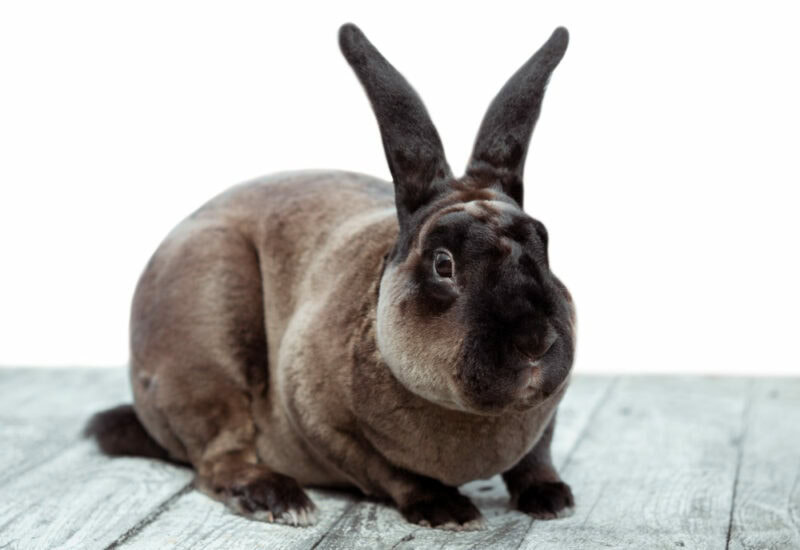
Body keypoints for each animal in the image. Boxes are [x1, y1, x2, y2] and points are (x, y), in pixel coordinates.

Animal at [85, 23, 576, 530]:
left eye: (544, 243)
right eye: (444, 264)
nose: (535, 341)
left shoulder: (547, 416)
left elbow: (536, 457)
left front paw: (551, 498)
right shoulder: (329, 428)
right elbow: (394, 473)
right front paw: (448, 510)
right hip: (205, 342)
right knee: (217, 460)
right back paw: (278, 498)